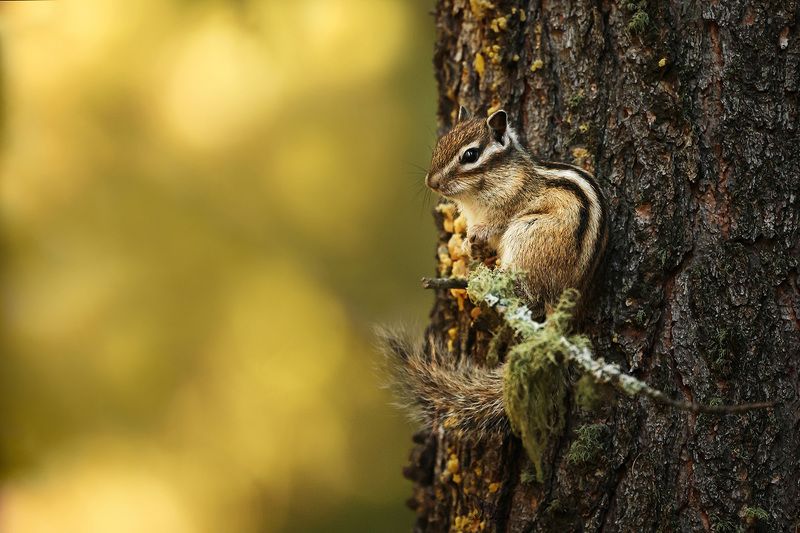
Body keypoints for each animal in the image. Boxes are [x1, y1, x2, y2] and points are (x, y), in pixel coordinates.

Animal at [379, 106, 608, 436]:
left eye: (470, 155)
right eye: (441, 143)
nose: (432, 182)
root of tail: (569, 301)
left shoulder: (507, 209)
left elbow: (492, 226)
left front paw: (474, 239)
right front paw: (468, 244)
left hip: (524, 236)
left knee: (529, 297)